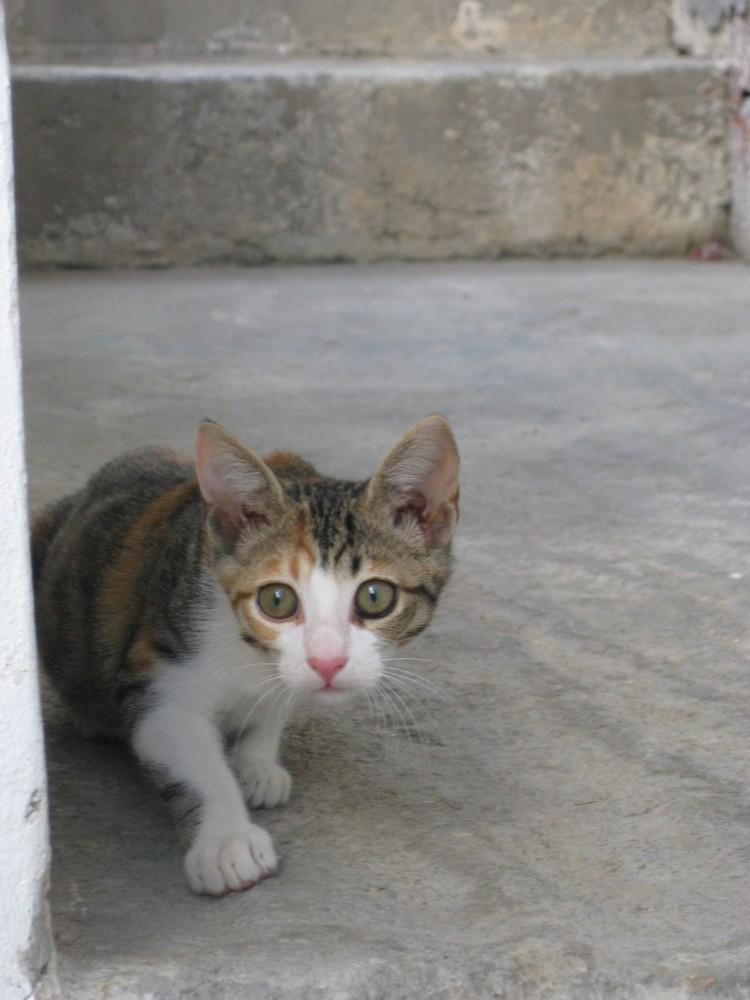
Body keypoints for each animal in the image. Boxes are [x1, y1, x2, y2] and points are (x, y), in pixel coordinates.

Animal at [32, 414, 462, 900]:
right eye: (276, 600)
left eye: (375, 596)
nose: (328, 662)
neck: (249, 653)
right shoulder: (155, 669)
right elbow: (192, 759)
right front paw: (227, 839)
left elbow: (275, 705)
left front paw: (257, 760)